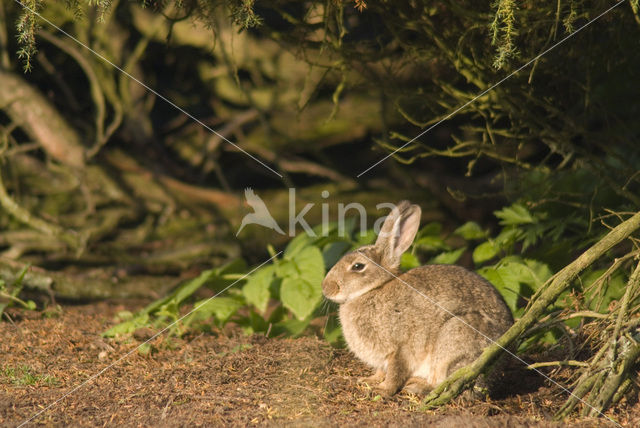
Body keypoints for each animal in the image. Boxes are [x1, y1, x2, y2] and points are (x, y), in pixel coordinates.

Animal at [322, 201, 512, 398]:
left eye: (358, 266)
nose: (326, 288)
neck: (373, 290)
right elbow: (382, 371)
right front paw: (369, 380)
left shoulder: (400, 348)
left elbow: (395, 372)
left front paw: (383, 390)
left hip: (455, 340)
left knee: (450, 384)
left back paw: (416, 386)